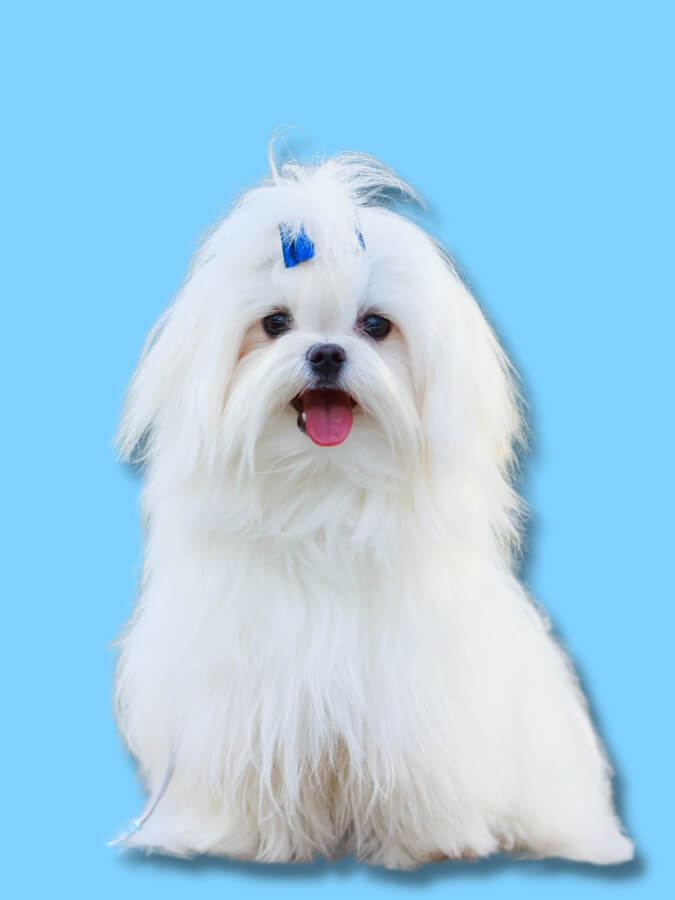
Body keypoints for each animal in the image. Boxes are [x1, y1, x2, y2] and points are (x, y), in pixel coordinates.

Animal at [113, 151, 636, 868]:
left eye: (375, 326)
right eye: (274, 323)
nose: (327, 352)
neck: (323, 493)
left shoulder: (416, 695)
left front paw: (426, 843)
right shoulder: (239, 693)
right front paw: (245, 837)